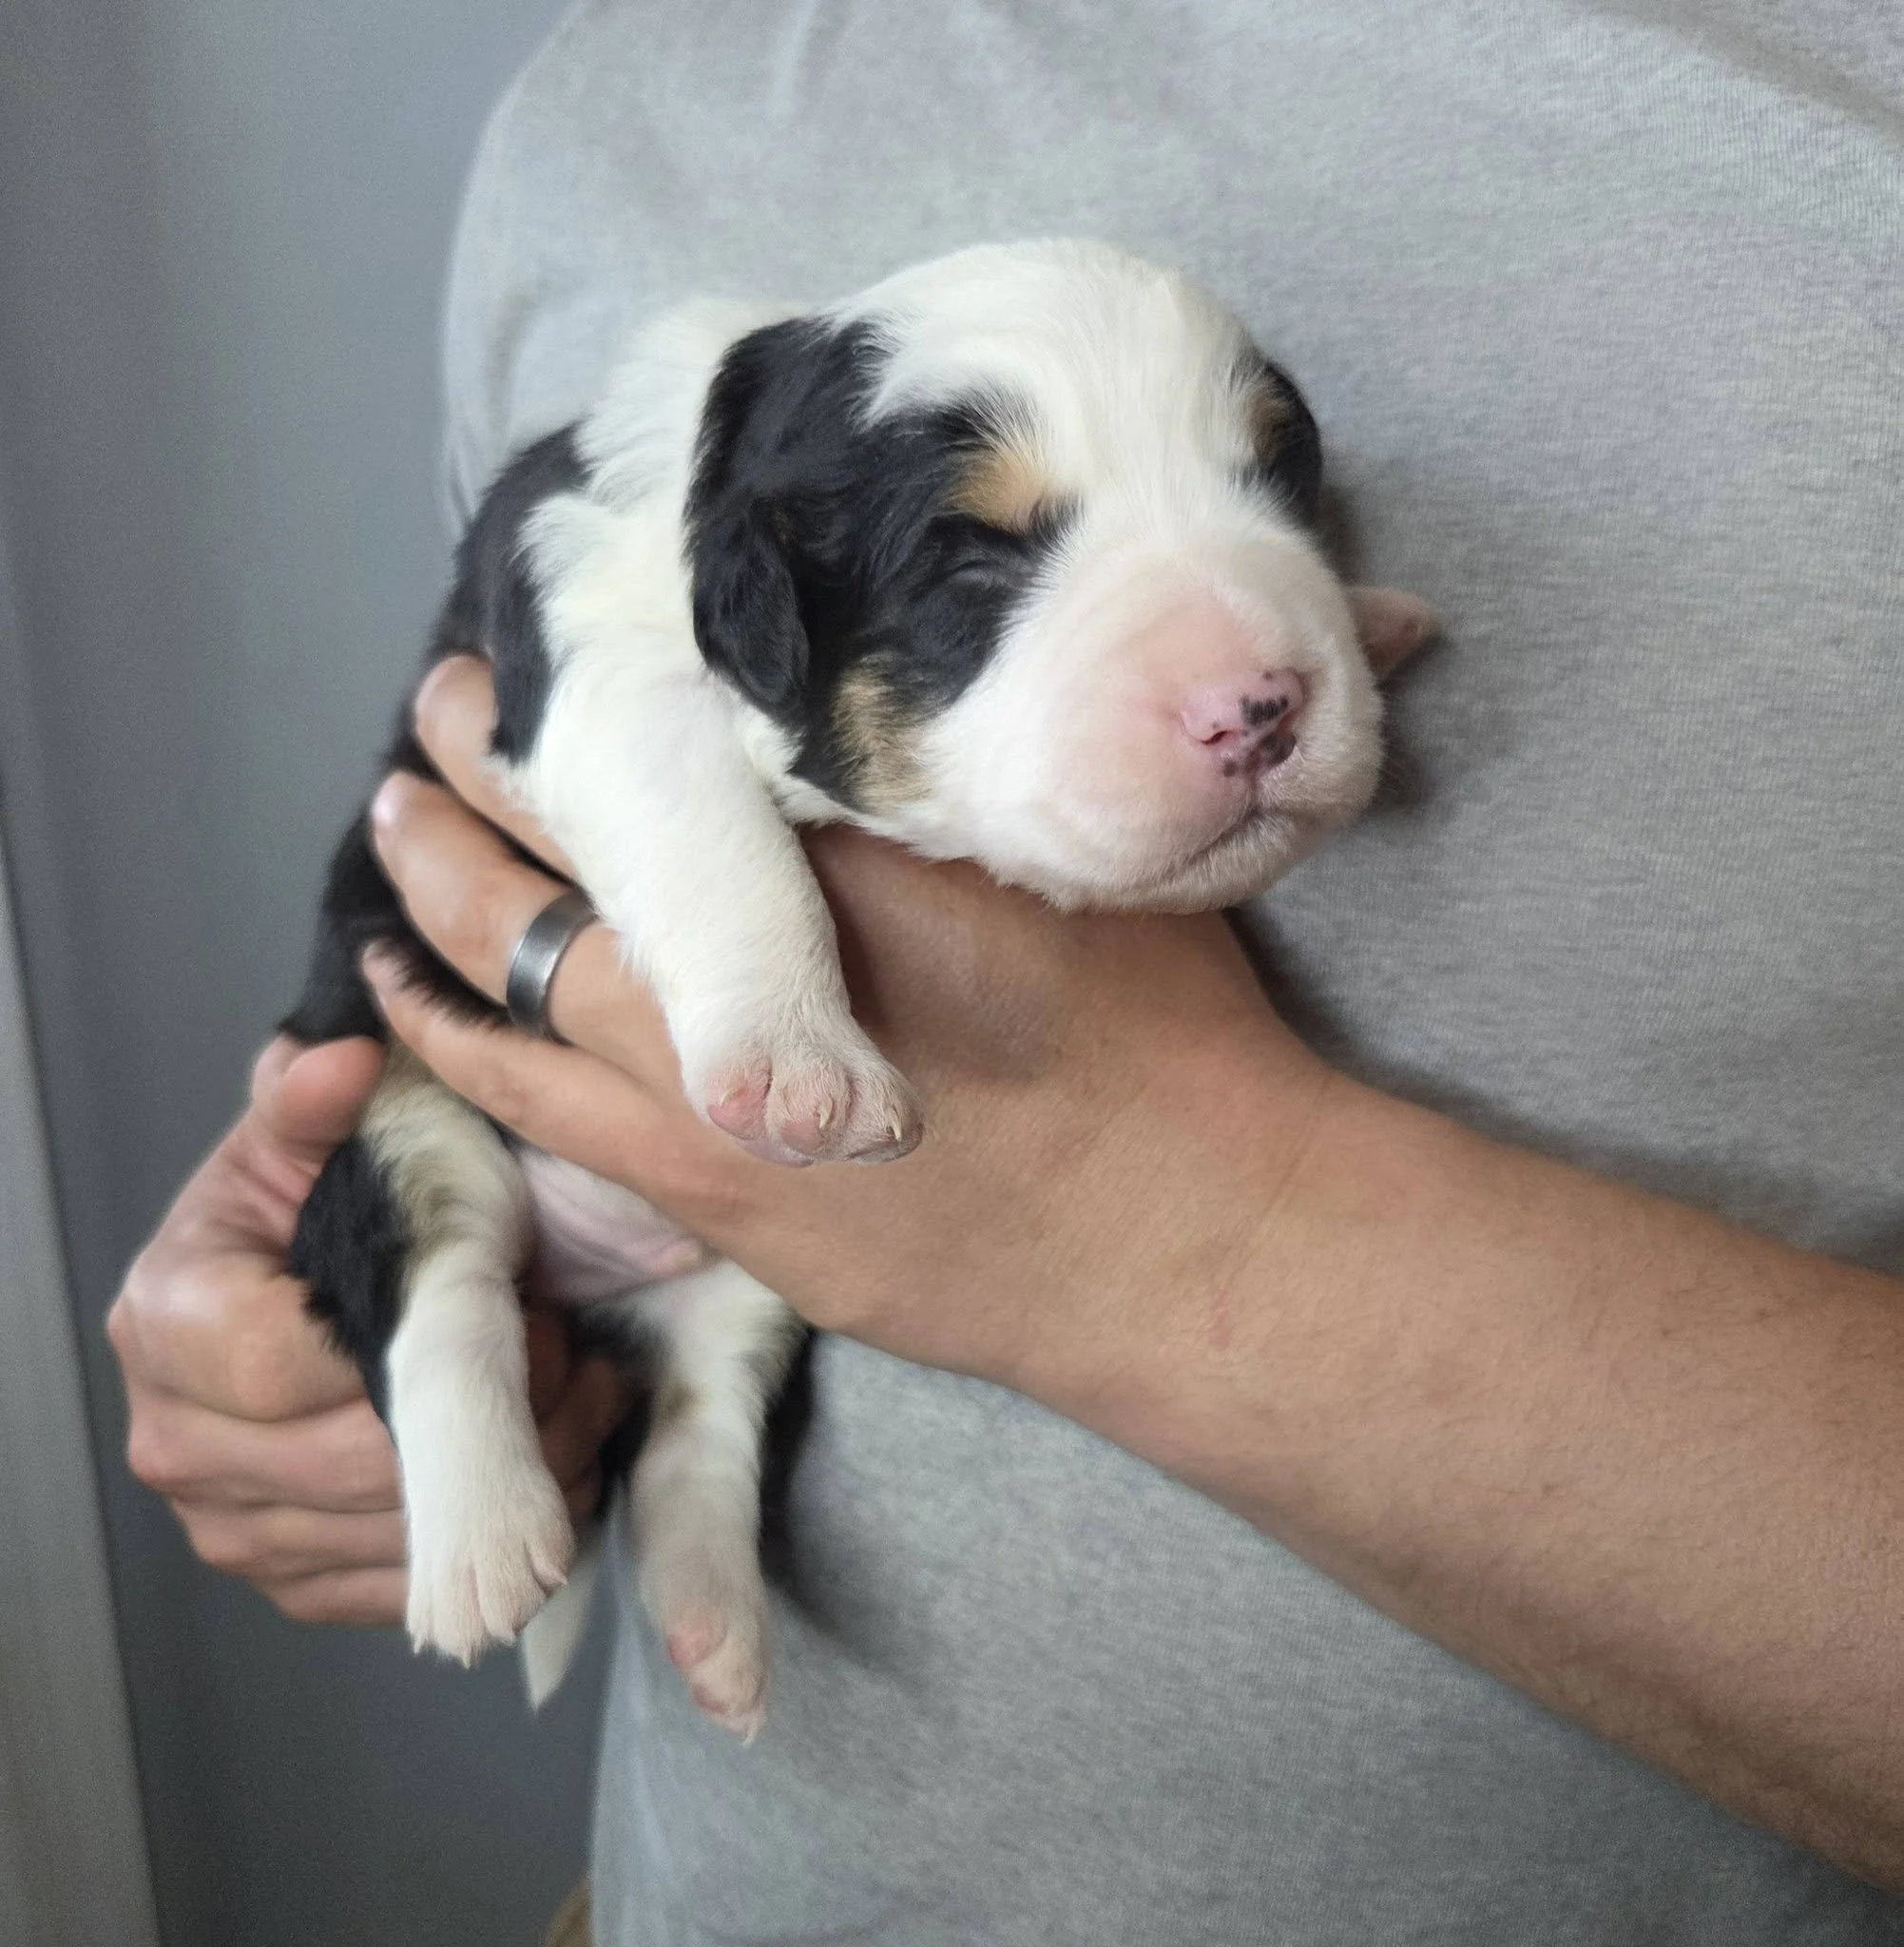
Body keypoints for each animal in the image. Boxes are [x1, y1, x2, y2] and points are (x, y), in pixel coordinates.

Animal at [283, 239, 1435, 1739]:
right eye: (975, 557)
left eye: (1278, 488)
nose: (1263, 703)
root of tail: (603, 1271)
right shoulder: (588, 668)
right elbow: (722, 839)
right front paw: (799, 1064)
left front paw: (1376, 613)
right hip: (386, 1085)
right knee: (438, 1279)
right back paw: (484, 1549)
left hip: (759, 1284)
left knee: (702, 1419)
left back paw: (713, 1626)